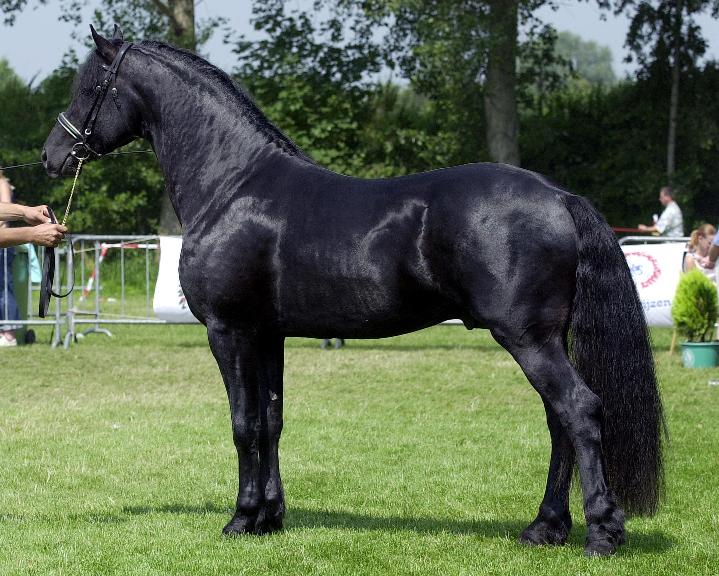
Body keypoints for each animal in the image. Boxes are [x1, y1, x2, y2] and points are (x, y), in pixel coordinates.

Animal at [42, 26, 664, 556]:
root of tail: (558, 197)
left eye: (90, 87)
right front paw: (270, 517)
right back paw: (544, 528)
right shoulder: (268, 336)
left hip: (528, 338)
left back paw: (600, 534)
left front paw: (241, 519)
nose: (51, 156)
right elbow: (271, 421)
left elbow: (243, 424)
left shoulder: (230, 332)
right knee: (559, 421)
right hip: (545, 339)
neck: (232, 186)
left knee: (578, 411)